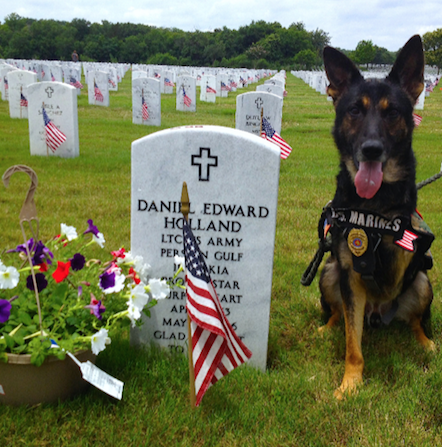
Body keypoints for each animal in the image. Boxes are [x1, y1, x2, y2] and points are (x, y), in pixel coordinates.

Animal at [318, 35, 436, 400]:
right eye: (355, 110)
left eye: (392, 112)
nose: (371, 149)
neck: (373, 205)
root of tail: (378, 316)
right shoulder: (350, 275)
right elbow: (352, 345)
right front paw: (350, 384)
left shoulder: (402, 257)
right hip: (329, 274)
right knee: (341, 317)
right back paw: (327, 328)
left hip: (422, 282)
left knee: (415, 321)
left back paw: (427, 344)